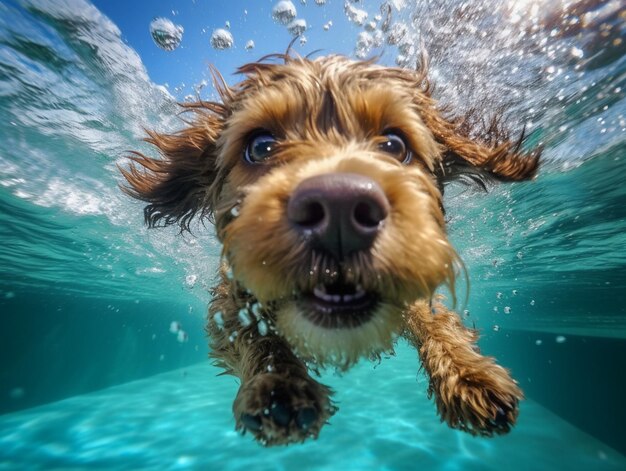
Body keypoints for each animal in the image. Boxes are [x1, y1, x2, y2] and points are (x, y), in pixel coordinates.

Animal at [120, 51, 536, 446]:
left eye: (394, 145)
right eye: (261, 147)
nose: (340, 208)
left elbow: (435, 320)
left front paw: (470, 374)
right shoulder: (230, 301)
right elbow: (255, 334)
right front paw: (278, 386)